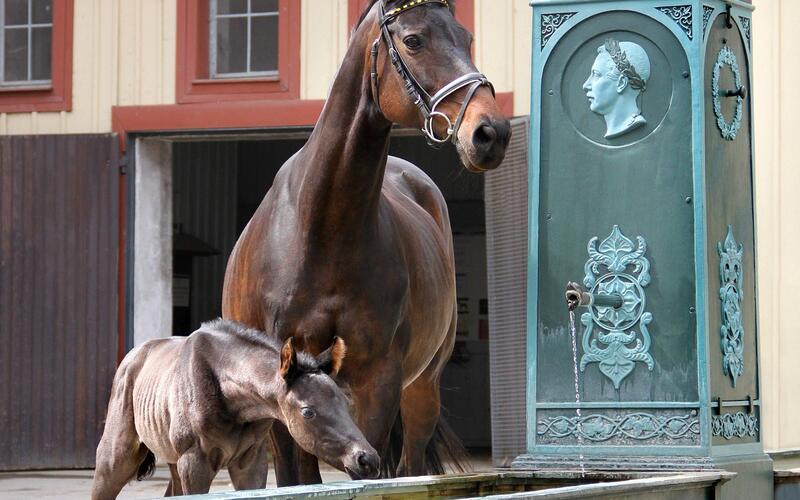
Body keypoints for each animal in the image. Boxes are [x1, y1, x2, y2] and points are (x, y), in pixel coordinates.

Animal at [91, 319, 379, 499]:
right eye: (308, 411)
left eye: (345, 402)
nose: (368, 460)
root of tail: (131, 358)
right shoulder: (194, 461)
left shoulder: (250, 462)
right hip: (117, 456)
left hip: (173, 460)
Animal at [222, 0, 511, 484]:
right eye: (413, 40)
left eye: (466, 39)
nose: (491, 132)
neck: (320, 232)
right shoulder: (285, 389)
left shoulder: (380, 382)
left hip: (421, 389)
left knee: (411, 463)